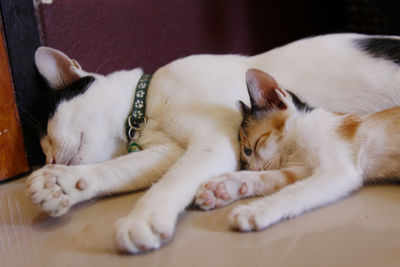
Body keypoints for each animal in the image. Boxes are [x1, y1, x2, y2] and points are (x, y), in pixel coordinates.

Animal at [195, 69, 400, 232]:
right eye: (245, 156)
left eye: (254, 145)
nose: (253, 167)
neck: (296, 145)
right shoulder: (300, 169)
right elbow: (271, 177)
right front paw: (224, 188)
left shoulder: (338, 169)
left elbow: (294, 191)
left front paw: (255, 210)